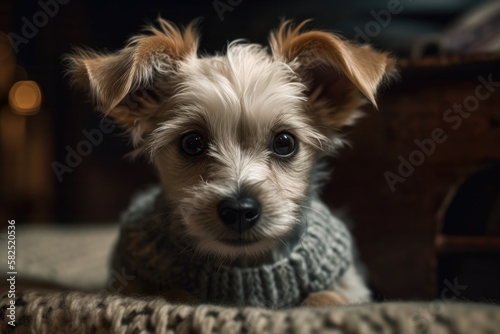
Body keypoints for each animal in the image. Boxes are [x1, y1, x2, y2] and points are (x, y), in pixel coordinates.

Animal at [66, 18, 394, 308]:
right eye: (192, 143)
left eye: (284, 143)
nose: (239, 210)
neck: (243, 269)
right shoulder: (129, 282)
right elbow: (168, 293)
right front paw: (178, 294)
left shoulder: (349, 284)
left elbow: (329, 297)